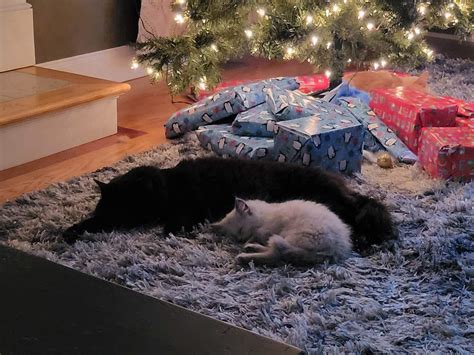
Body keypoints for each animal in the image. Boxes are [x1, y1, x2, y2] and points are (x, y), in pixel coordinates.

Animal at [64, 157, 396, 252]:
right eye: (110, 208)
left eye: (126, 207)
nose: (112, 216)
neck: (168, 186)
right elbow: (87, 224)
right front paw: (69, 232)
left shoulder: (188, 209)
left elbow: (173, 225)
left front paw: (171, 234)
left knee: (358, 224)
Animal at [212, 197, 352, 268]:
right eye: (237, 235)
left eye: (241, 230)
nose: (240, 240)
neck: (265, 215)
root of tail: (335, 251)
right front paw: (247, 242)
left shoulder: (267, 229)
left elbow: (257, 234)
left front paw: (248, 241)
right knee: (275, 252)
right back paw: (250, 248)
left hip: (293, 235)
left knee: (275, 255)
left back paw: (244, 256)